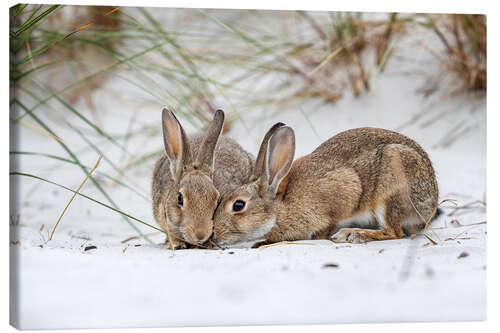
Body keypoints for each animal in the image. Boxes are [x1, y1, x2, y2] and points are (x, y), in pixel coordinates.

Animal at [211, 122, 438, 246]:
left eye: (238, 205)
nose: (213, 235)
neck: (280, 208)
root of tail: (431, 202)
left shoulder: (344, 191)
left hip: (390, 191)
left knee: (394, 232)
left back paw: (352, 234)